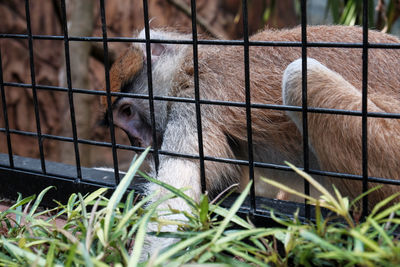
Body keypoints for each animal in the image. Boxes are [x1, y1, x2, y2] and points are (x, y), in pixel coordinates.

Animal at [101, 25, 400, 258]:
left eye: (127, 112)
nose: (137, 141)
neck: (186, 68)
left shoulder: (193, 107)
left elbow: (174, 208)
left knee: (300, 75)